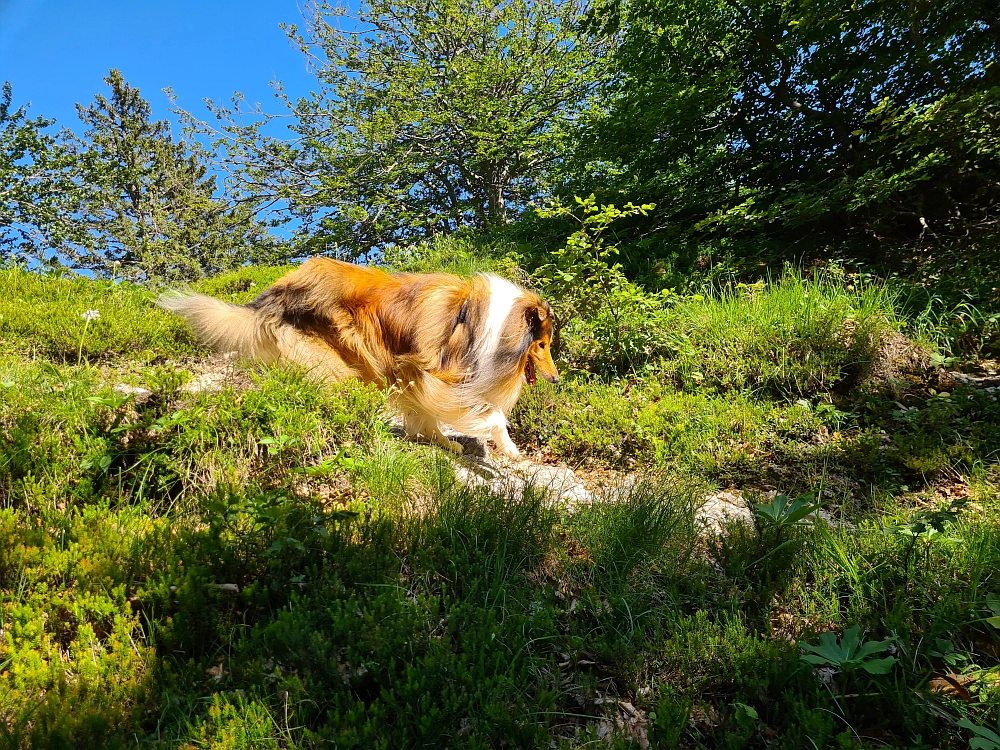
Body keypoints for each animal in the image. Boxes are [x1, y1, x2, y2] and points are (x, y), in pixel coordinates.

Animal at [160, 258, 560, 458]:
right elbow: (491, 416)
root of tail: (273, 295)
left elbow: (426, 415)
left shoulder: (411, 376)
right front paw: (508, 448)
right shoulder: (433, 374)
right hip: (337, 359)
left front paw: (443, 443)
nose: (557, 379)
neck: (490, 326)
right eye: (542, 344)